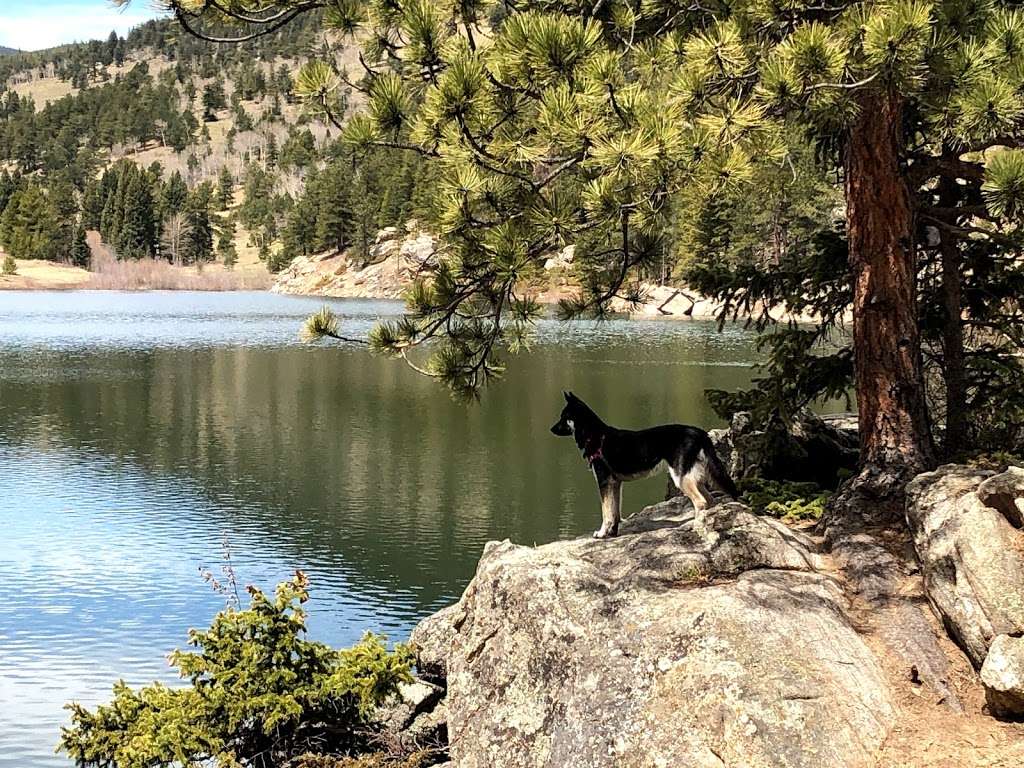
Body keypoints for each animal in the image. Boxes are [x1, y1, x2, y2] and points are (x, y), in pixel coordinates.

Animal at [552, 393, 737, 536]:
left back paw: (695, 526)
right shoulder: (616, 483)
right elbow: (615, 512)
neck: (596, 436)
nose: (551, 429)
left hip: (681, 478)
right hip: (692, 476)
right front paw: (612, 533)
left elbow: (606, 512)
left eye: (563, 417)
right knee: (710, 500)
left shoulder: (604, 482)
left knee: (700, 502)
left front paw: (602, 533)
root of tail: (699, 433)